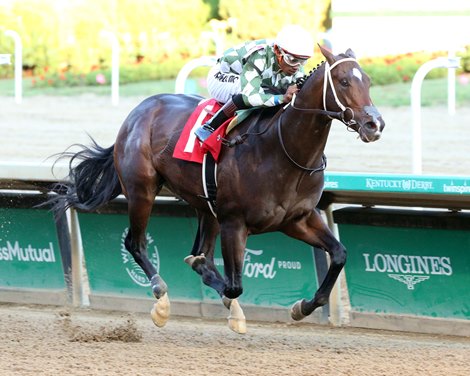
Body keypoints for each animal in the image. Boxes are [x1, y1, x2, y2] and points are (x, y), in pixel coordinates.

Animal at [47, 46, 386, 332]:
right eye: (343, 81)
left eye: (368, 81)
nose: (375, 125)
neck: (283, 149)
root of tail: (138, 111)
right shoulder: (234, 222)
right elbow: (233, 284)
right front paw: (227, 300)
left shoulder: (297, 219)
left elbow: (339, 254)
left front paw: (301, 307)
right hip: (142, 191)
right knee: (136, 243)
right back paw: (162, 299)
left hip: (205, 206)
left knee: (200, 252)